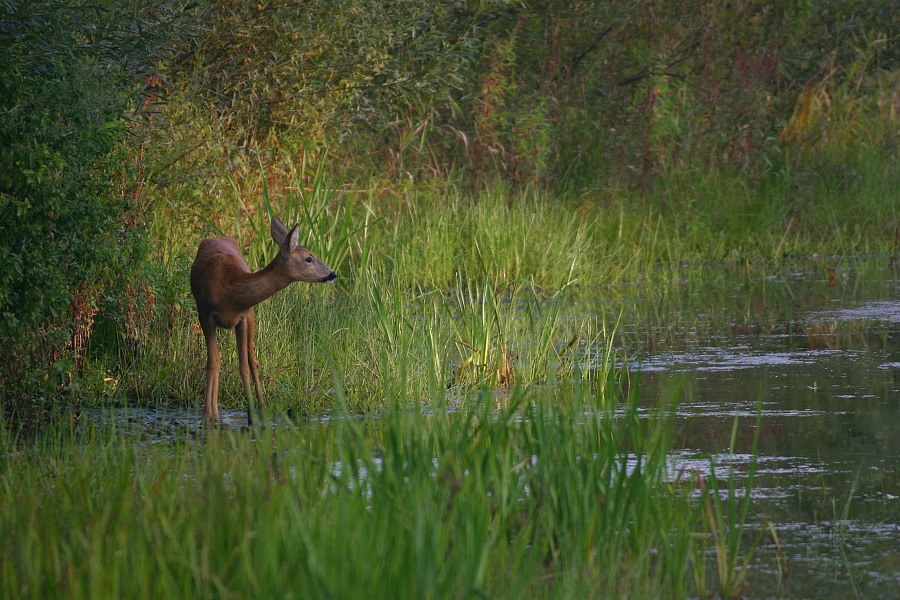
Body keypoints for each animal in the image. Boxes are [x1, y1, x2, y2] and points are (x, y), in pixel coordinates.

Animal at [189, 216, 336, 426]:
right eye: (309, 258)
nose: (332, 273)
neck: (228, 291)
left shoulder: (243, 316)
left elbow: (243, 366)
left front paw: (252, 418)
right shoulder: (205, 314)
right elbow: (213, 363)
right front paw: (206, 418)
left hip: (252, 317)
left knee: (252, 359)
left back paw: (262, 409)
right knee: (221, 360)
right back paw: (217, 414)